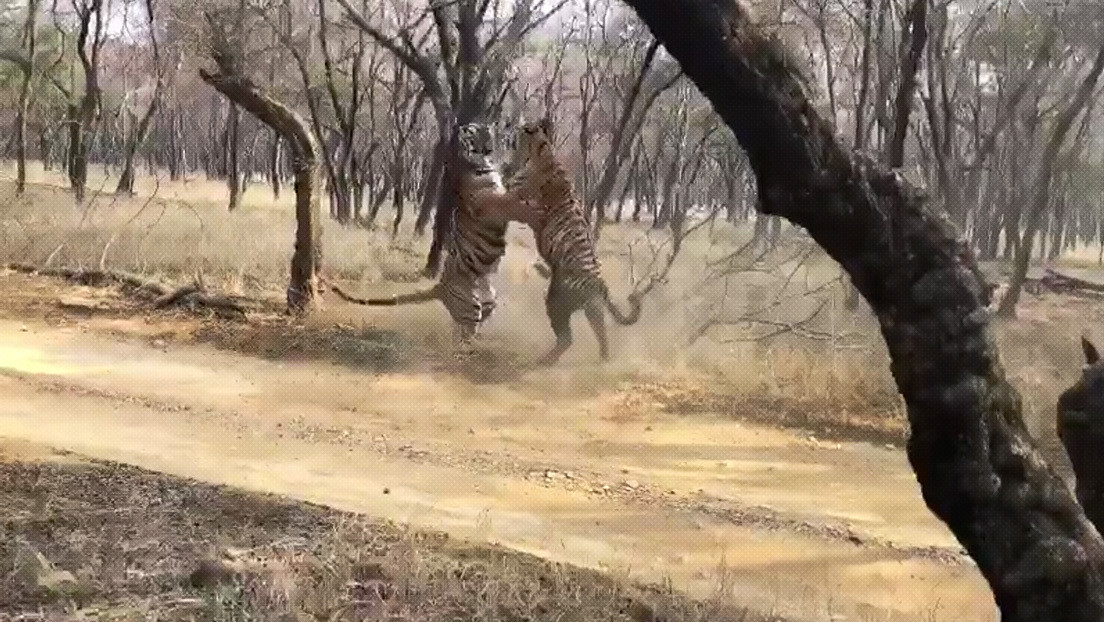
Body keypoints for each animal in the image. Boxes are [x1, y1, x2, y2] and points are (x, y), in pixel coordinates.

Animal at [326, 122, 528, 351]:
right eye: (472, 130)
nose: (481, 127)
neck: (479, 162)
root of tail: (439, 287)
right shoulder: (491, 201)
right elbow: (510, 200)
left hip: (489, 302)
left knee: (465, 325)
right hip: (471, 308)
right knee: (462, 335)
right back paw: (469, 349)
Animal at [488, 117, 643, 366]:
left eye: (518, 128)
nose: (508, 124)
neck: (541, 150)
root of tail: (600, 283)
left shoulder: (518, 197)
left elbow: (504, 186)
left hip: (560, 303)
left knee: (572, 337)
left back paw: (555, 361)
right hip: (578, 304)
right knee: (589, 333)